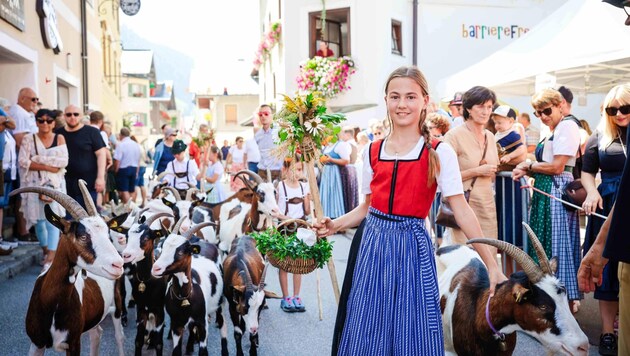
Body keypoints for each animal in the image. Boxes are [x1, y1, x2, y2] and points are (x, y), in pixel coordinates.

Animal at [12, 181, 126, 356]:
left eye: (108, 235)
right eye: (83, 236)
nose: (118, 264)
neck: (51, 304)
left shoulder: (73, 342)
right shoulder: (36, 342)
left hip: (117, 305)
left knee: (119, 337)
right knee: (96, 334)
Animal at [152, 221, 228, 354]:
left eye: (181, 252)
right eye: (163, 247)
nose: (156, 268)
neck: (186, 298)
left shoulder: (202, 324)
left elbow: (203, 351)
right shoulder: (177, 325)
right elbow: (176, 350)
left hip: (220, 304)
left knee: (223, 326)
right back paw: (189, 346)